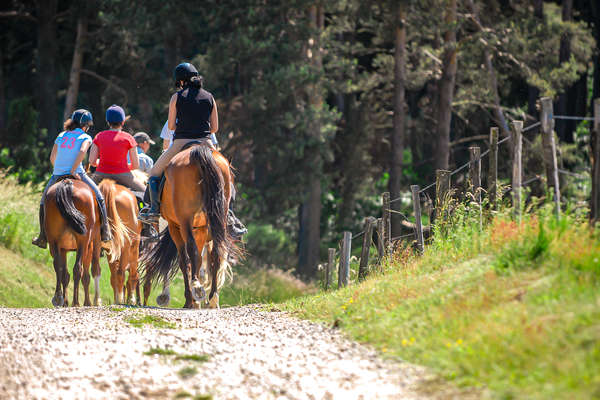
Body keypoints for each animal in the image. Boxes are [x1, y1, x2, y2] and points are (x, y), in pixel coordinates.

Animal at [43, 177, 102, 306]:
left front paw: (65, 302)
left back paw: (58, 298)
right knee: (78, 269)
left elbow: (65, 274)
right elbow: (86, 276)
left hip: (54, 241)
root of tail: (67, 184)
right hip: (83, 242)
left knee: (58, 266)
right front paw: (87, 302)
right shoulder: (89, 247)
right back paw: (76, 302)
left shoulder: (63, 249)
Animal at [142, 144, 238, 310]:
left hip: (185, 221)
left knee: (191, 253)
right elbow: (198, 261)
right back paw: (212, 297)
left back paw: (196, 291)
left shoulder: (175, 227)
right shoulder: (201, 229)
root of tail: (199, 151)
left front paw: (190, 299)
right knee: (216, 253)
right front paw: (196, 300)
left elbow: (185, 261)